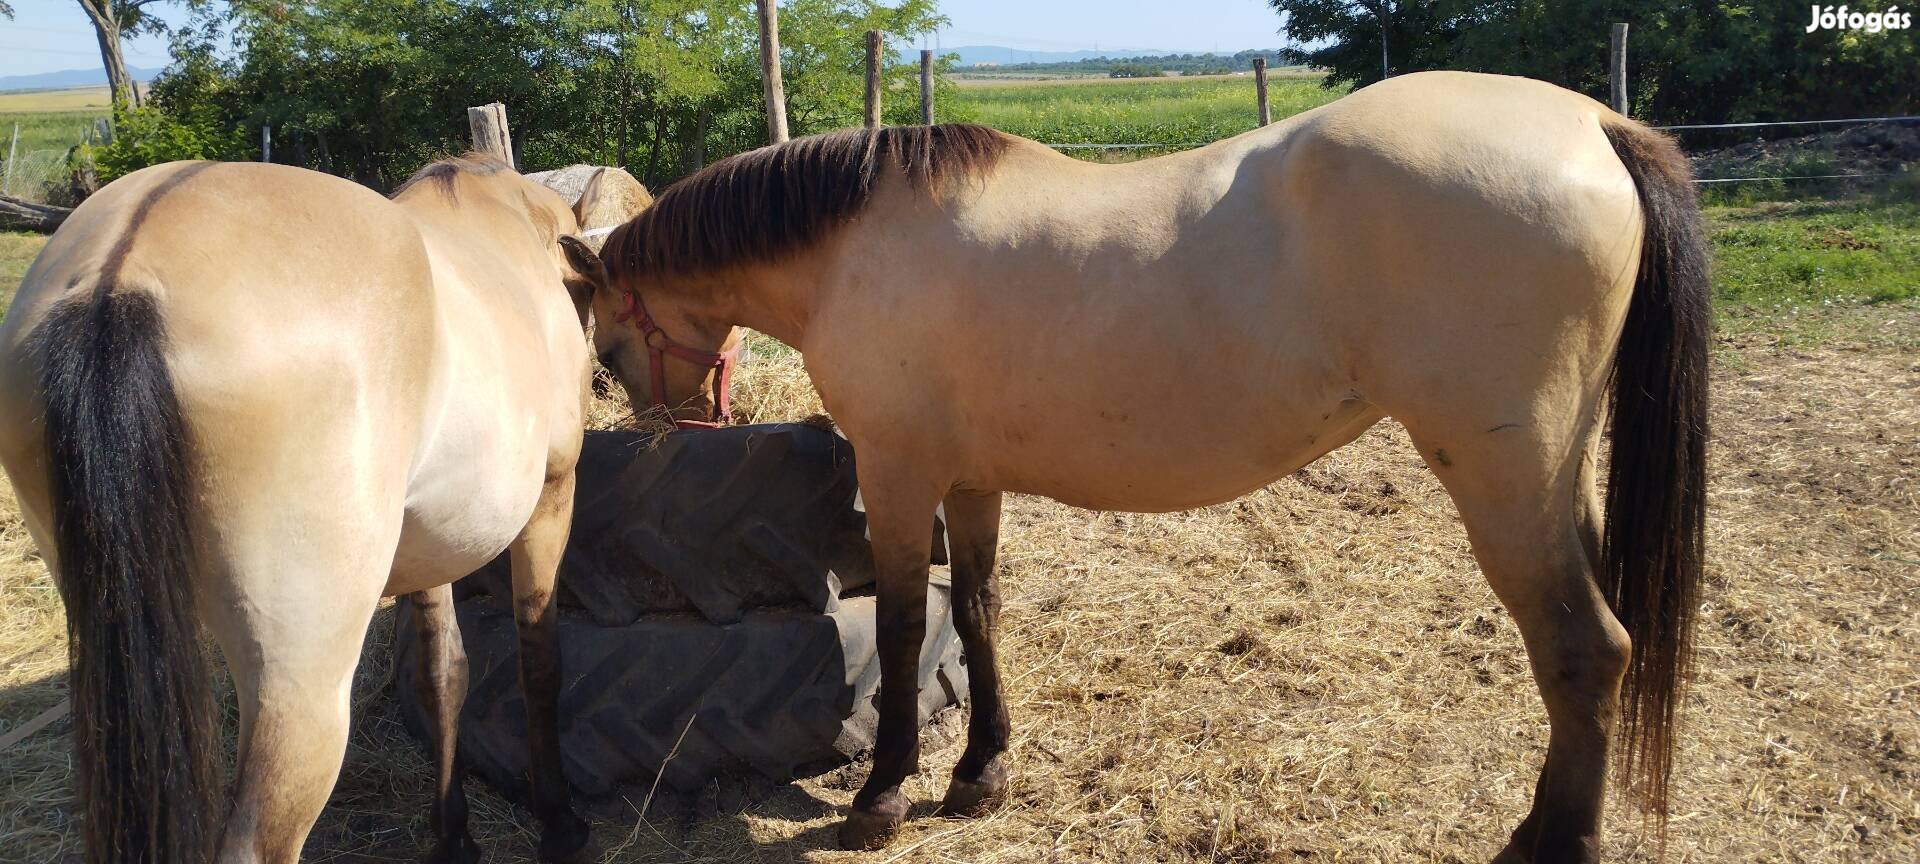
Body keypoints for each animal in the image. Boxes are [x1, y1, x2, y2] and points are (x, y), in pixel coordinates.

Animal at [0, 156, 614, 864]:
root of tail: (120, 272)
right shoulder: (553, 496)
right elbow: (539, 661)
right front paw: (559, 822)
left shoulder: (427, 545)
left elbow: (443, 675)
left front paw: (454, 834)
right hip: (300, 682)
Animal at [591, 71, 1720, 860]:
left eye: (604, 344)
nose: (660, 430)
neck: (859, 245)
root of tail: (1594, 126)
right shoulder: (971, 478)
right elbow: (980, 609)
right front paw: (981, 775)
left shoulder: (901, 472)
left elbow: (909, 625)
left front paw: (882, 796)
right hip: (1558, 475)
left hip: (1502, 482)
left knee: (1583, 651)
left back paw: (1555, 843)